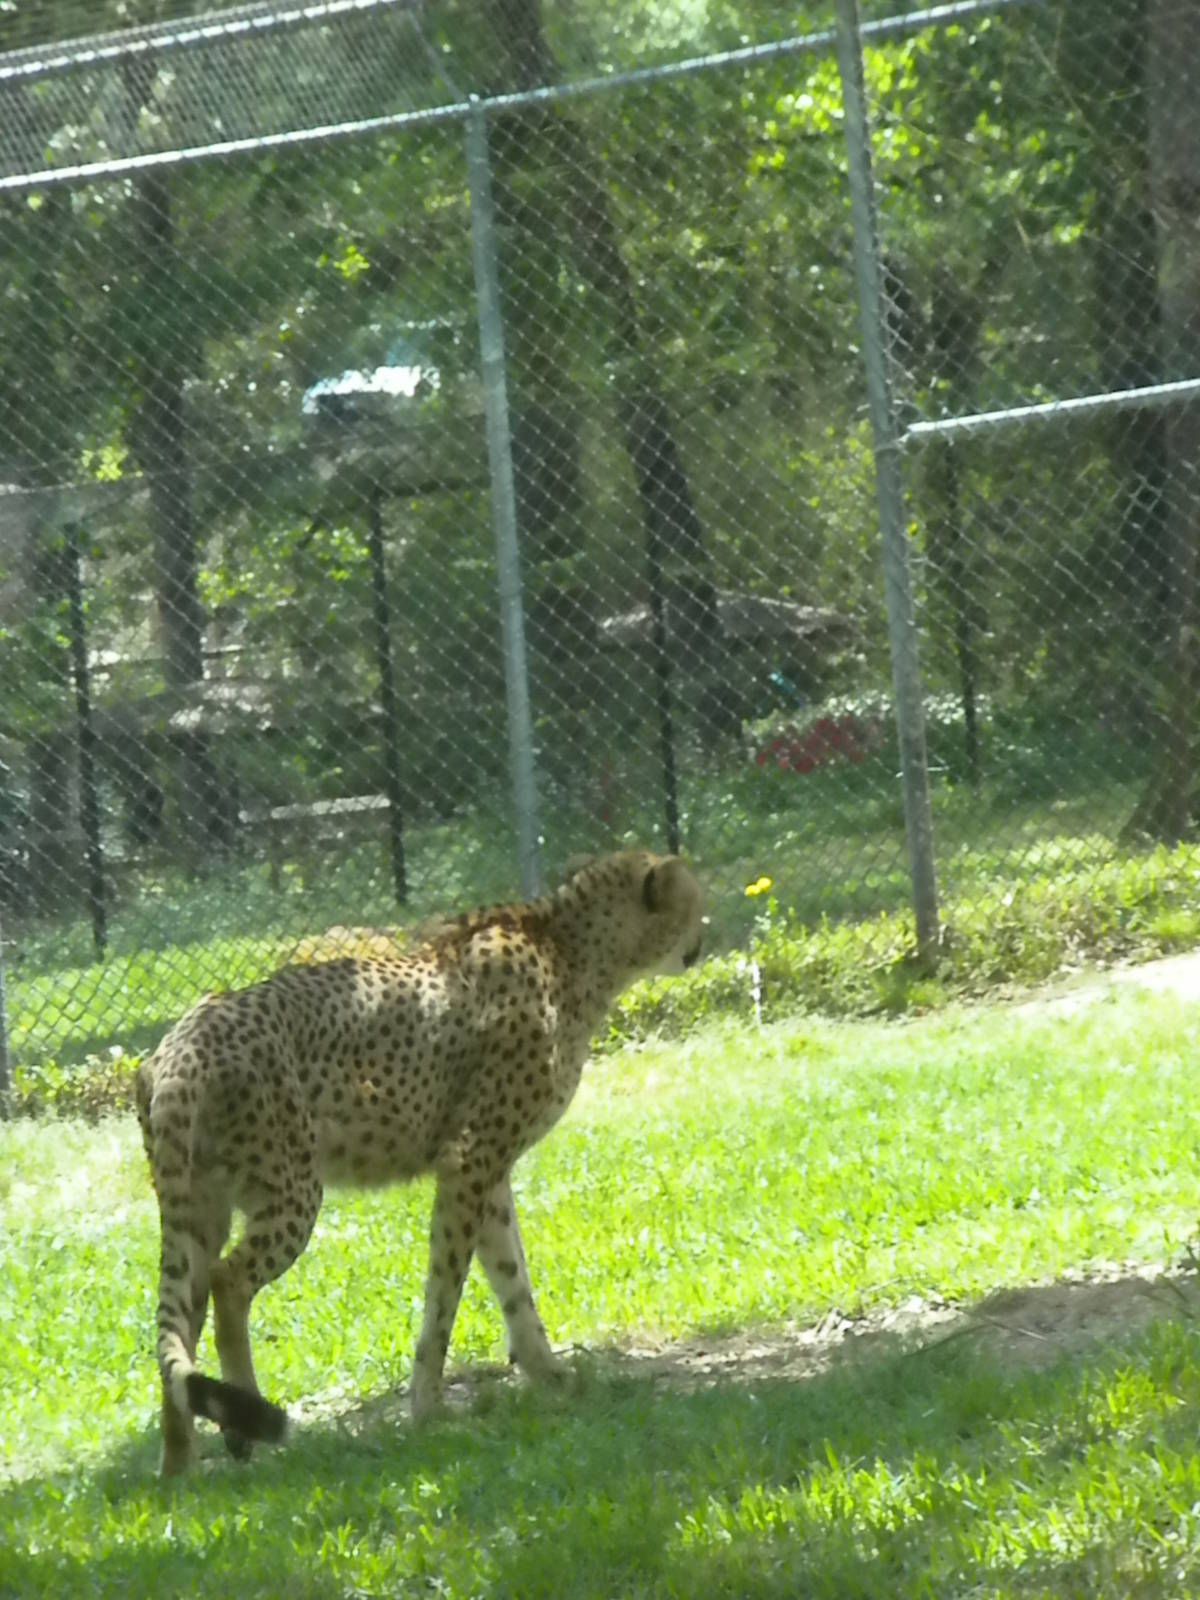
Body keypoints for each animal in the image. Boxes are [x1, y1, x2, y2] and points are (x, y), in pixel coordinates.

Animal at [135, 849, 705, 1475]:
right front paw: (429, 1407)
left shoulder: (489, 1174)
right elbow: (445, 1291)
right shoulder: (469, 1158)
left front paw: (551, 1375)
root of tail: (183, 1043)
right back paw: (243, 1429)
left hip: (199, 1206)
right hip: (292, 1191)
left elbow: (512, 1279)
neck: (571, 946)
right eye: (695, 902)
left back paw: (179, 1463)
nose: (705, 938)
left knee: (182, 1315)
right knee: (227, 1282)